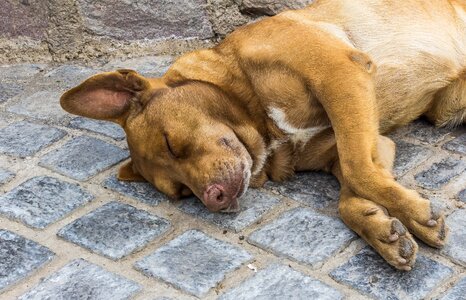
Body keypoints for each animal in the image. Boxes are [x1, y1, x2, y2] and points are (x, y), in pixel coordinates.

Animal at [60, 0, 464, 270]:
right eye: (181, 193)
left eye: (170, 144)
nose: (215, 200)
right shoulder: (373, 141)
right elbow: (352, 188)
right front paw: (381, 227)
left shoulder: (340, 74)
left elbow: (358, 170)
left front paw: (413, 213)